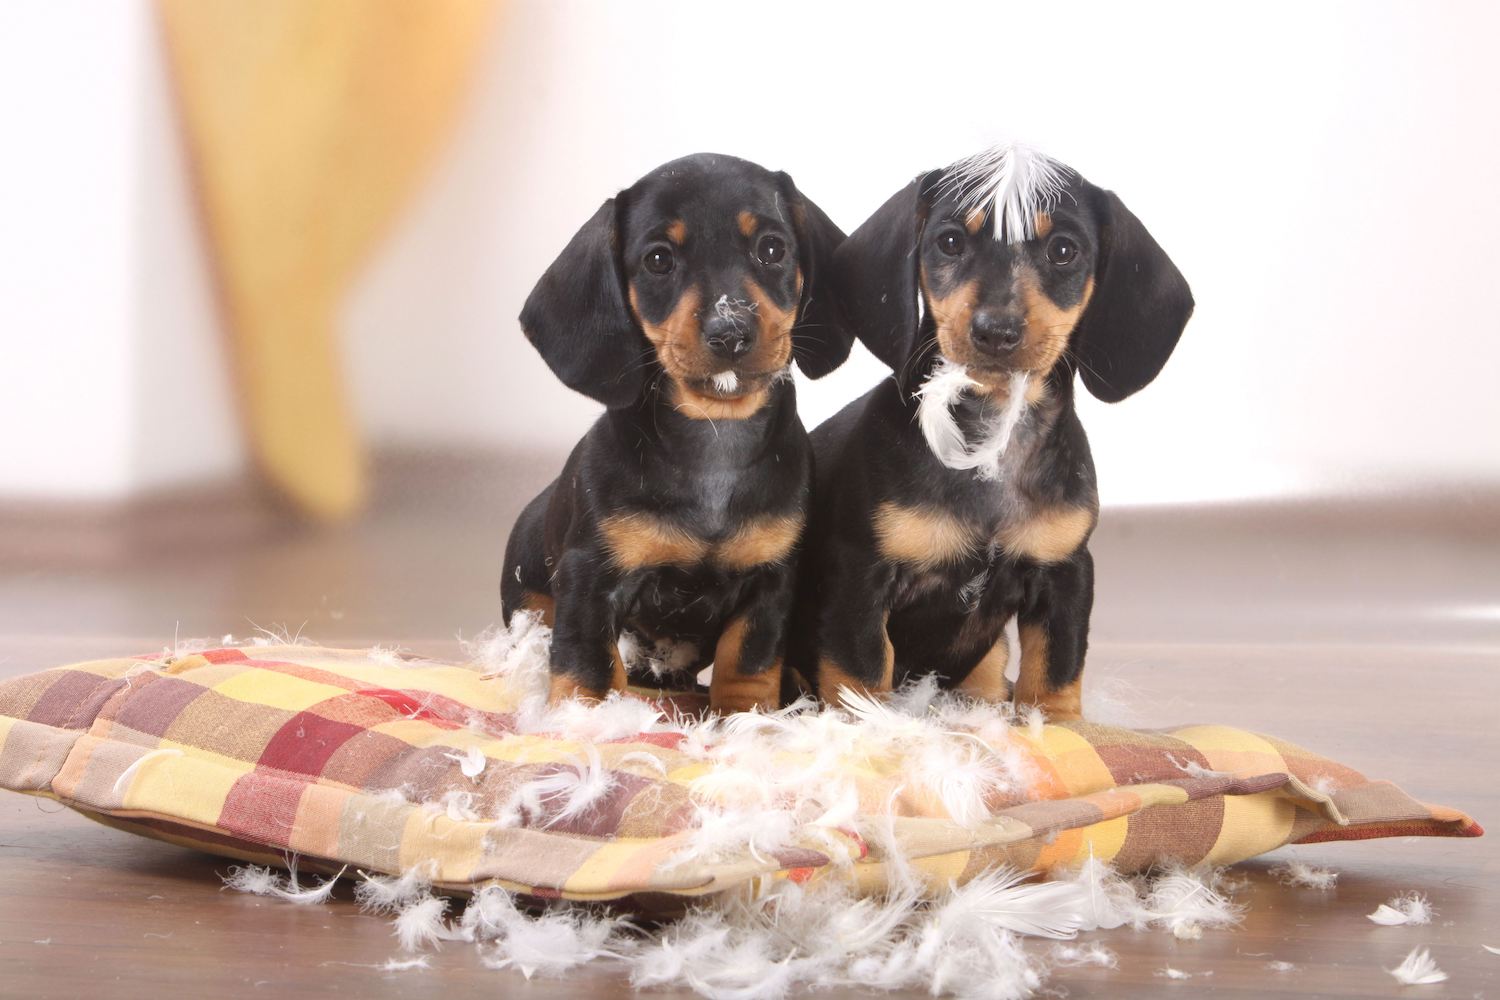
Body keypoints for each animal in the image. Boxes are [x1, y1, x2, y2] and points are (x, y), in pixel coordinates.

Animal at [504, 152, 858, 710]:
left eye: (772, 249)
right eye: (658, 260)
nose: (730, 333)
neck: (714, 441)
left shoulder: (771, 583)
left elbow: (747, 662)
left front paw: (746, 716)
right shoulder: (590, 576)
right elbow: (587, 663)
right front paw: (583, 718)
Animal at [786, 142, 1194, 719]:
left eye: (1064, 251)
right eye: (950, 241)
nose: (996, 332)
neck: (989, 444)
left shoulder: (1065, 574)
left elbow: (1055, 671)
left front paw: (1059, 730)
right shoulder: (859, 576)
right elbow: (861, 675)